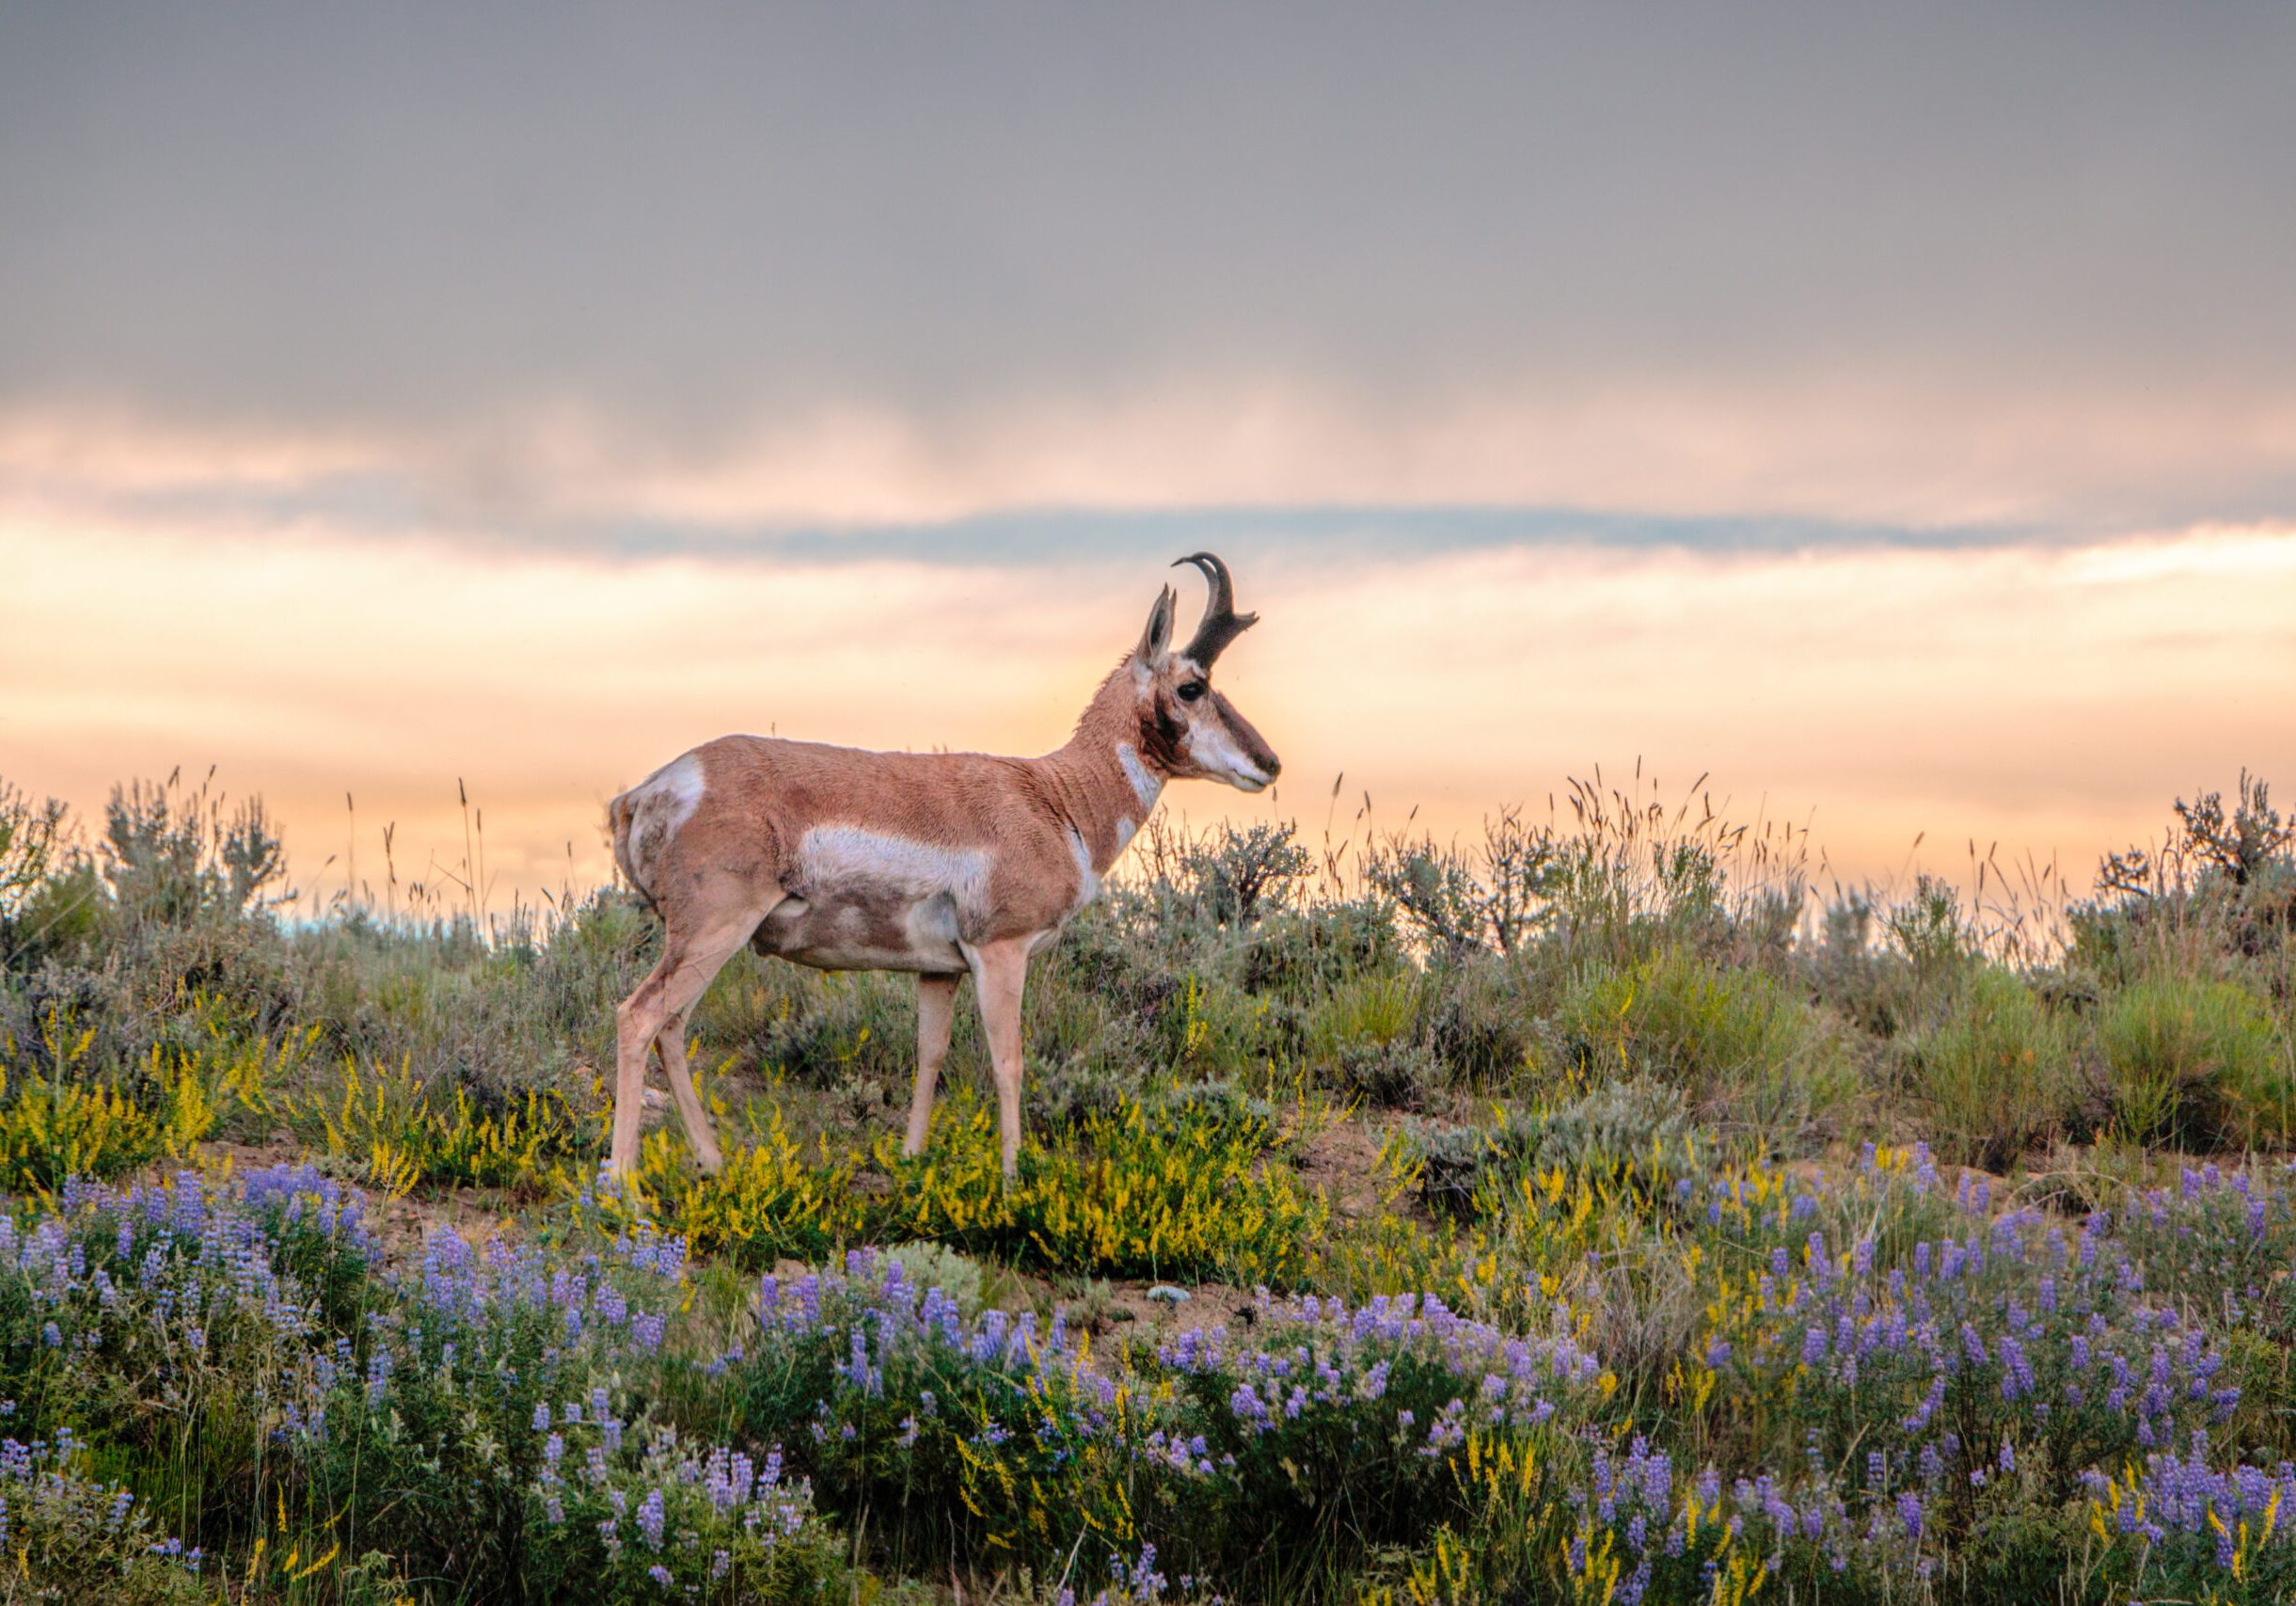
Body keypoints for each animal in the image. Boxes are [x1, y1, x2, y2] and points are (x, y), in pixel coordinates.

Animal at [604, 553, 1280, 1182]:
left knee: (671, 1026)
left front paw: (910, 1159)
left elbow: (929, 1054)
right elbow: (1007, 1061)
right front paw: (1012, 1179)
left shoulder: (937, 970)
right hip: (715, 930)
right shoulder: (1000, 951)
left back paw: (713, 1162)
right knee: (640, 1016)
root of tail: (649, 789)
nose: (1268, 763)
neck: (1055, 796)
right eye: (1192, 686)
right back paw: (625, 1185)